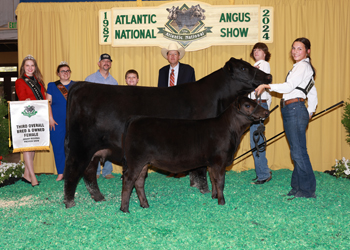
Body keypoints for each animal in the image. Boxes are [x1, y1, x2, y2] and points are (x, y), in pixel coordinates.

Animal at [121, 96, 270, 212]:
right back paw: (125, 209)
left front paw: (214, 197)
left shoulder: (211, 163)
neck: (232, 131)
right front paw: (222, 202)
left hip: (144, 163)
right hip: (136, 160)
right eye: (247, 105)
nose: (267, 111)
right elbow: (220, 181)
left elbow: (213, 180)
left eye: (254, 101)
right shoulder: (219, 161)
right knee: (128, 180)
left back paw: (145, 205)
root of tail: (136, 118)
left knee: (139, 181)